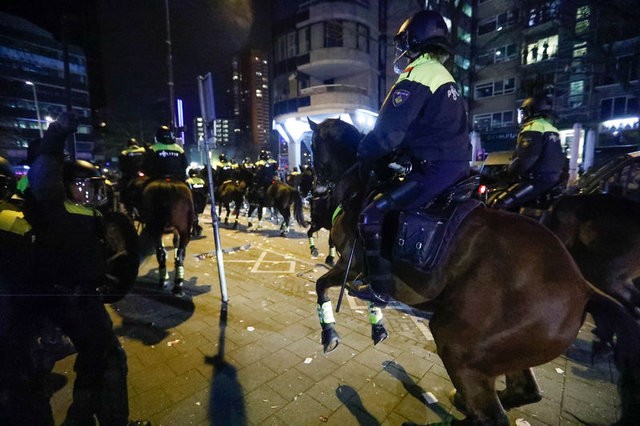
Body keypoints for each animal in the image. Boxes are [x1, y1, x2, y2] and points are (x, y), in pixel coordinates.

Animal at [310, 118, 616, 424]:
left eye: (311, 146)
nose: (314, 190)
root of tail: (582, 286)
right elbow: (365, 294)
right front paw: (377, 328)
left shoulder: (350, 265)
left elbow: (321, 286)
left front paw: (330, 335)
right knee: (523, 391)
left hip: (458, 347)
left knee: (492, 413)